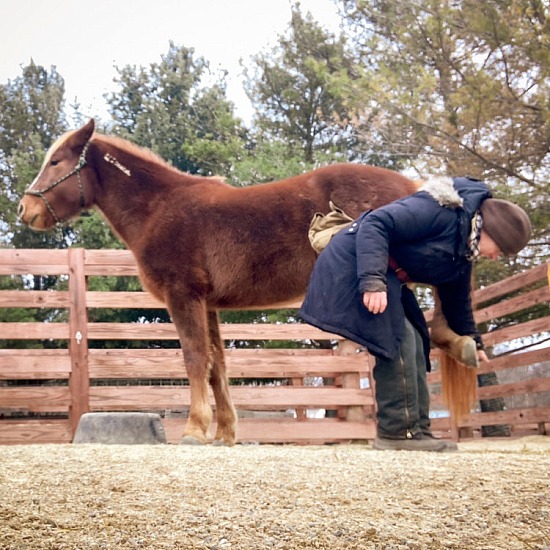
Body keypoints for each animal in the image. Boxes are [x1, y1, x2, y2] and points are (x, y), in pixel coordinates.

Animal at [17, 119, 474, 444]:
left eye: (56, 162)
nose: (25, 209)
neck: (159, 209)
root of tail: (413, 185)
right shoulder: (207, 303)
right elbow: (217, 365)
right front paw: (225, 433)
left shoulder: (183, 295)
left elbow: (194, 358)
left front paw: (194, 430)